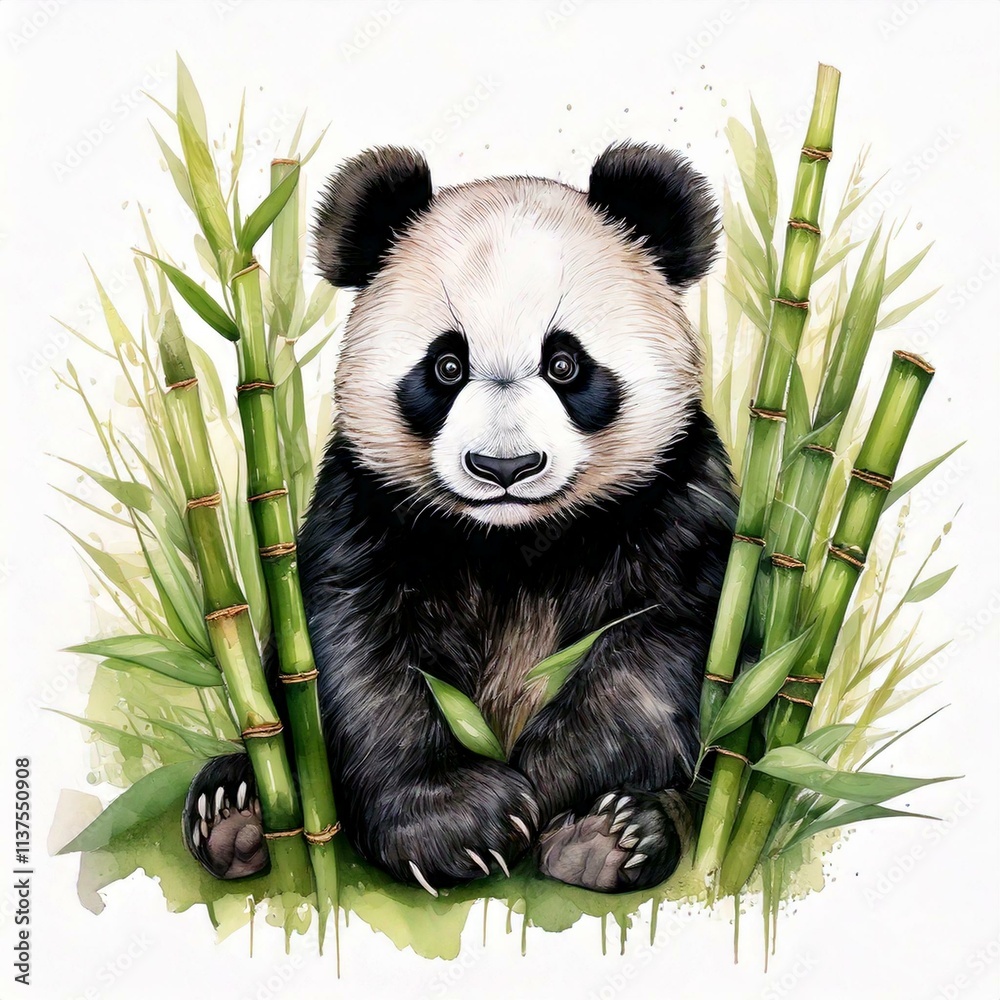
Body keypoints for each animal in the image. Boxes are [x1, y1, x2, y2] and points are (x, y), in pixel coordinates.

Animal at [182, 142, 736, 895]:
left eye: (565, 364)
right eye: (446, 365)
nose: (505, 467)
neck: (513, 541)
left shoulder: (672, 501)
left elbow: (656, 660)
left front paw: (543, 789)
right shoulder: (368, 509)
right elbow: (362, 663)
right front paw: (462, 822)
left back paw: (609, 838)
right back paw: (237, 811)